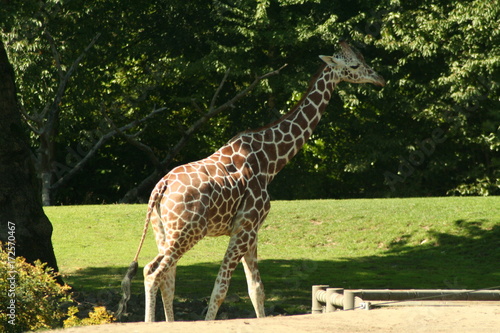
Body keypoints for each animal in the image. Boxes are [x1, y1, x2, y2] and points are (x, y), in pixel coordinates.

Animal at [116, 40, 382, 320]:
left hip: (163, 230)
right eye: (355, 65)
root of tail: (160, 188)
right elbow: (221, 289)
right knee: (153, 272)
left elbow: (256, 288)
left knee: (166, 279)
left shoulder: (252, 230)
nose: (380, 79)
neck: (270, 161)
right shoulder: (245, 226)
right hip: (187, 232)